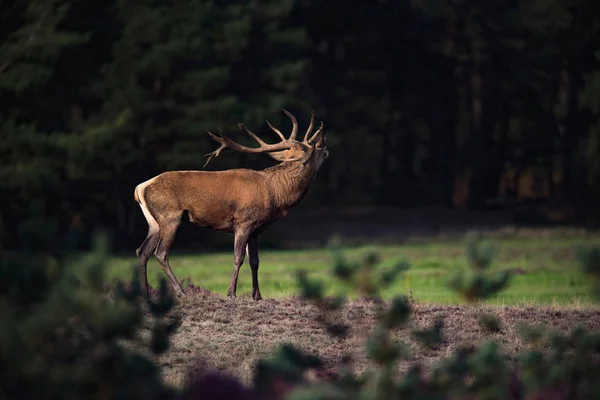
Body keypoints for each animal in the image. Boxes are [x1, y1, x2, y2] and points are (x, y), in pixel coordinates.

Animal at [134, 109, 328, 300]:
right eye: (313, 150)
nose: (325, 148)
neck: (275, 193)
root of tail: (139, 188)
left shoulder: (256, 229)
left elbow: (255, 261)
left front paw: (257, 296)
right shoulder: (244, 222)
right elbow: (238, 258)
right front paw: (231, 293)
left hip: (154, 222)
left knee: (142, 251)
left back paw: (145, 294)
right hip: (170, 216)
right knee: (161, 253)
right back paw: (182, 293)